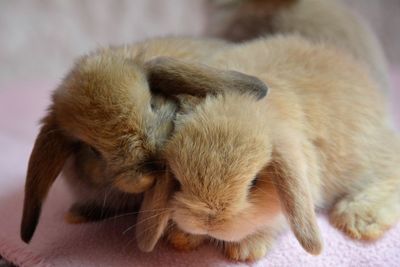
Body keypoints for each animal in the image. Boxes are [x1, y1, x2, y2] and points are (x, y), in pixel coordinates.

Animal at [138, 34, 400, 262]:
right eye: (179, 181)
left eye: (254, 183)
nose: (208, 223)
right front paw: (182, 237)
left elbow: (273, 221)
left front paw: (246, 250)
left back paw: (358, 219)